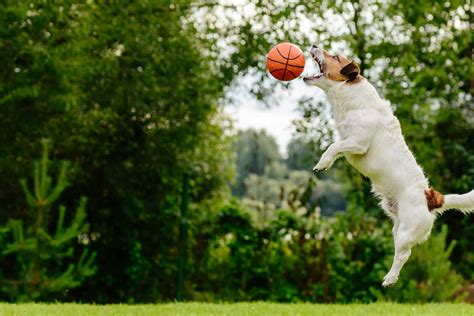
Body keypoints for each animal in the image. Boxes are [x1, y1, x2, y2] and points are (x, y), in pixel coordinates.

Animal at [304, 44, 474, 286]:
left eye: (335, 56)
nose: (314, 45)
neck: (352, 101)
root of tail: (431, 197)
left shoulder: (358, 143)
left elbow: (333, 147)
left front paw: (322, 163)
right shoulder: (348, 140)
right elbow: (335, 146)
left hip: (406, 231)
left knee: (404, 254)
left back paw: (390, 278)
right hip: (397, 227)